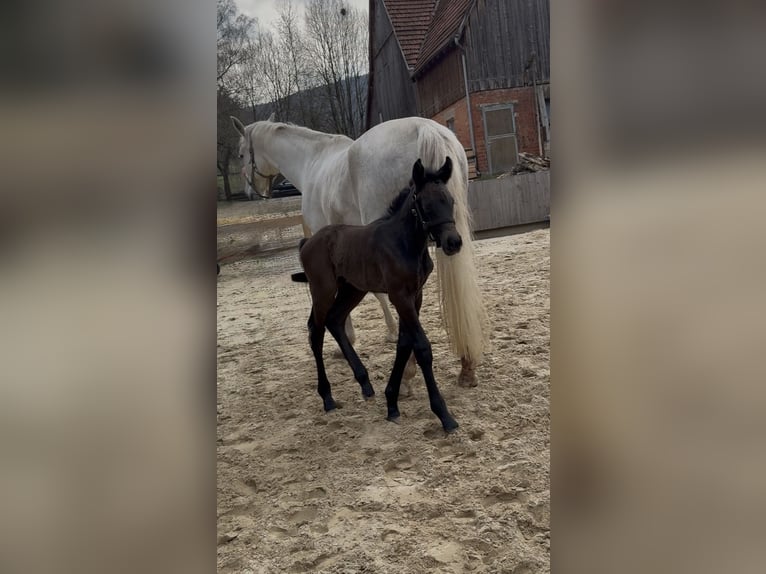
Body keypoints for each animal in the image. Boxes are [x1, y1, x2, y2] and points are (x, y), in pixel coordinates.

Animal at [231, 114, 488, 387]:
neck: (312, 160)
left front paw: (350, 338)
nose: (249, 192)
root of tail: (424, 128)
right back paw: (466, 367)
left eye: (240, 154)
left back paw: (406, 375)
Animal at [291, 157, 461, 433]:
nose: (453, 242)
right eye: (425, 205)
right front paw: (444, 415)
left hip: (352, 290)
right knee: (315, 332)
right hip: (323, 291)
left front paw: (391, 403)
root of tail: (307, 242)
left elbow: (404, 344)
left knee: (334, 320)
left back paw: (365, 383)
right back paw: (327, 397)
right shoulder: (399, 296)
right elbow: (421, 347)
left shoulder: (415, 295)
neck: (404, 243)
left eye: (450, 200)